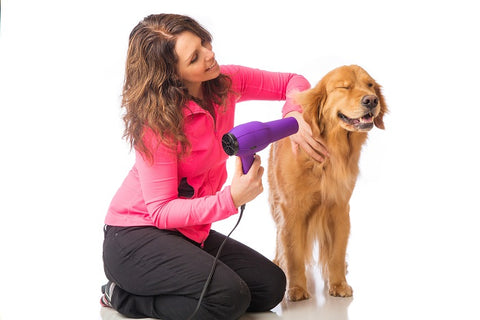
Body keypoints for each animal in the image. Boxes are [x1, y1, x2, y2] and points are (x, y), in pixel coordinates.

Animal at [268, 64, 388, 300]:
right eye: (344, 87)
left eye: (370, 85)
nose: (371, 100)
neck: (330, 152)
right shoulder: (291, 208)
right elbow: (293, 251)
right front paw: (296, 288)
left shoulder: (339, 208)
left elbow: (336, 253)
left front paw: (339, 283)